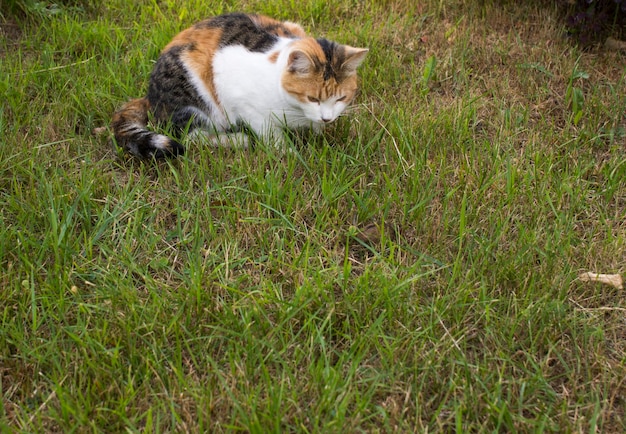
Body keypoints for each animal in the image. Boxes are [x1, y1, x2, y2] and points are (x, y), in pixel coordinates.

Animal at [111, 11, 366, 158]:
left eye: (341, 98)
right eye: (312, 98)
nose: (327, 118)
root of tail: (148, 96)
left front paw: (317, 132)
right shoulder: (238, 95)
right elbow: (269, 132)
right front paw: (288, 153)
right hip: (195, 100)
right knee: (193, 137)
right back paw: (237, 140)